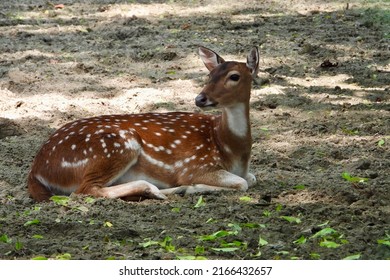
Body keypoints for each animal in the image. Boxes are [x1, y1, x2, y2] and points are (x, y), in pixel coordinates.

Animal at [27, 47, 258, 201]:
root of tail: (36, 170)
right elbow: (243, 183)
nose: (200, 99)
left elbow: (251, 178)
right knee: (85, 190)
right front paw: (189, 187)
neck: (229, 147)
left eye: (234, 76)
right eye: (209, 75)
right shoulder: (194, 166)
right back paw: (154, 189)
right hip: (116, 146)